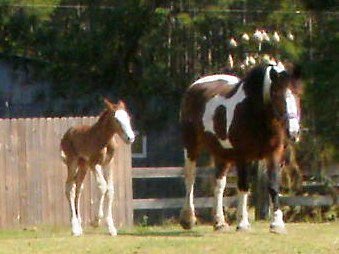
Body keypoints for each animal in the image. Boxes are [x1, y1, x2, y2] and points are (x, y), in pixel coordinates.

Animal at [179, 62, 302, 233]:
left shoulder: (274, 155)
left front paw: (277, 223)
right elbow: (243, 186)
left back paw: (219, 222)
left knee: (219, 185)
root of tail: (194, 86)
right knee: (190, 178)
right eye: (276, 94)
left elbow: (273, 186)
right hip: (191, 146)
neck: (255, 113)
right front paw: (243, 223)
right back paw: (188, 219)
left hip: (222, 154)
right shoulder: (243, 157)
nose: (293, 132)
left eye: (298, 94)